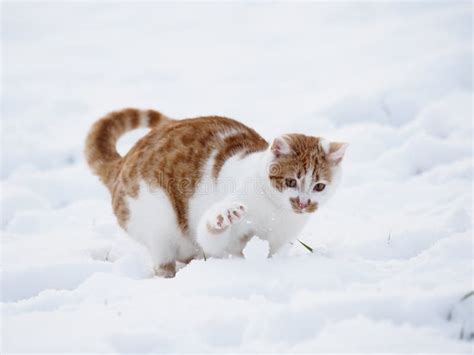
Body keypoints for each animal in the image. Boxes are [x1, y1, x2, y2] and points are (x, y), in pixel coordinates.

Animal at [85, 108, 346, 278]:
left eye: (319, 186)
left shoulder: (282, 239)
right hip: (158, 220)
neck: (274, 211)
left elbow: (275, 253)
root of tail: (122, 163)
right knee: (163, 262)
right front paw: (224, 216)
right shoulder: (219, 242)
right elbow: (212, 235)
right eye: (291, 181)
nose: (303, 203)